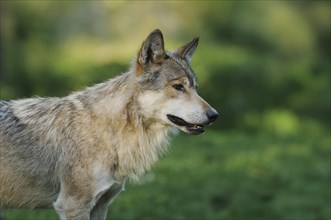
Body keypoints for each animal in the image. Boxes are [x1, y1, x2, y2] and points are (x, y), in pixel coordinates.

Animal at [0, 29, 219, 220]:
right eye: (178, 87)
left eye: (196, 88)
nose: (214, 115)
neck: (111, 132)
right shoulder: (73, 206)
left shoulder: (101, 204)